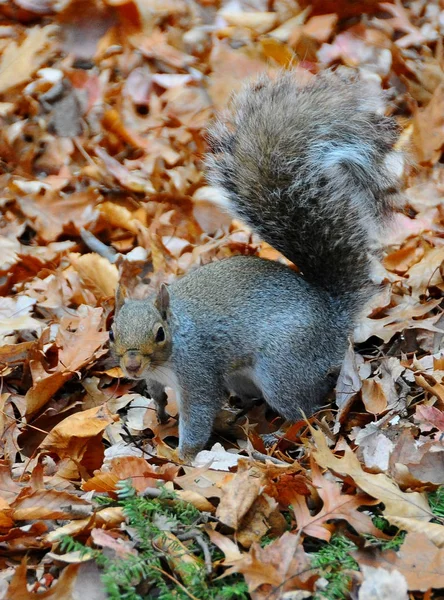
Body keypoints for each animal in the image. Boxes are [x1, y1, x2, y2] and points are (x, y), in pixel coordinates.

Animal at [110, 69, 402, 460]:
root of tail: (332, 318)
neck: (168, 354)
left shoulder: (198, 372)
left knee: (307, 407)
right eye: (112, 332)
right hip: (242, 376)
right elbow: (156, 395)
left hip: (282, 367)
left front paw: (183, 457)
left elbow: (199, 413)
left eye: (159, 333)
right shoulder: (155, 378)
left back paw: (279, 434)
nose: (130, 365)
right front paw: (157, 414)